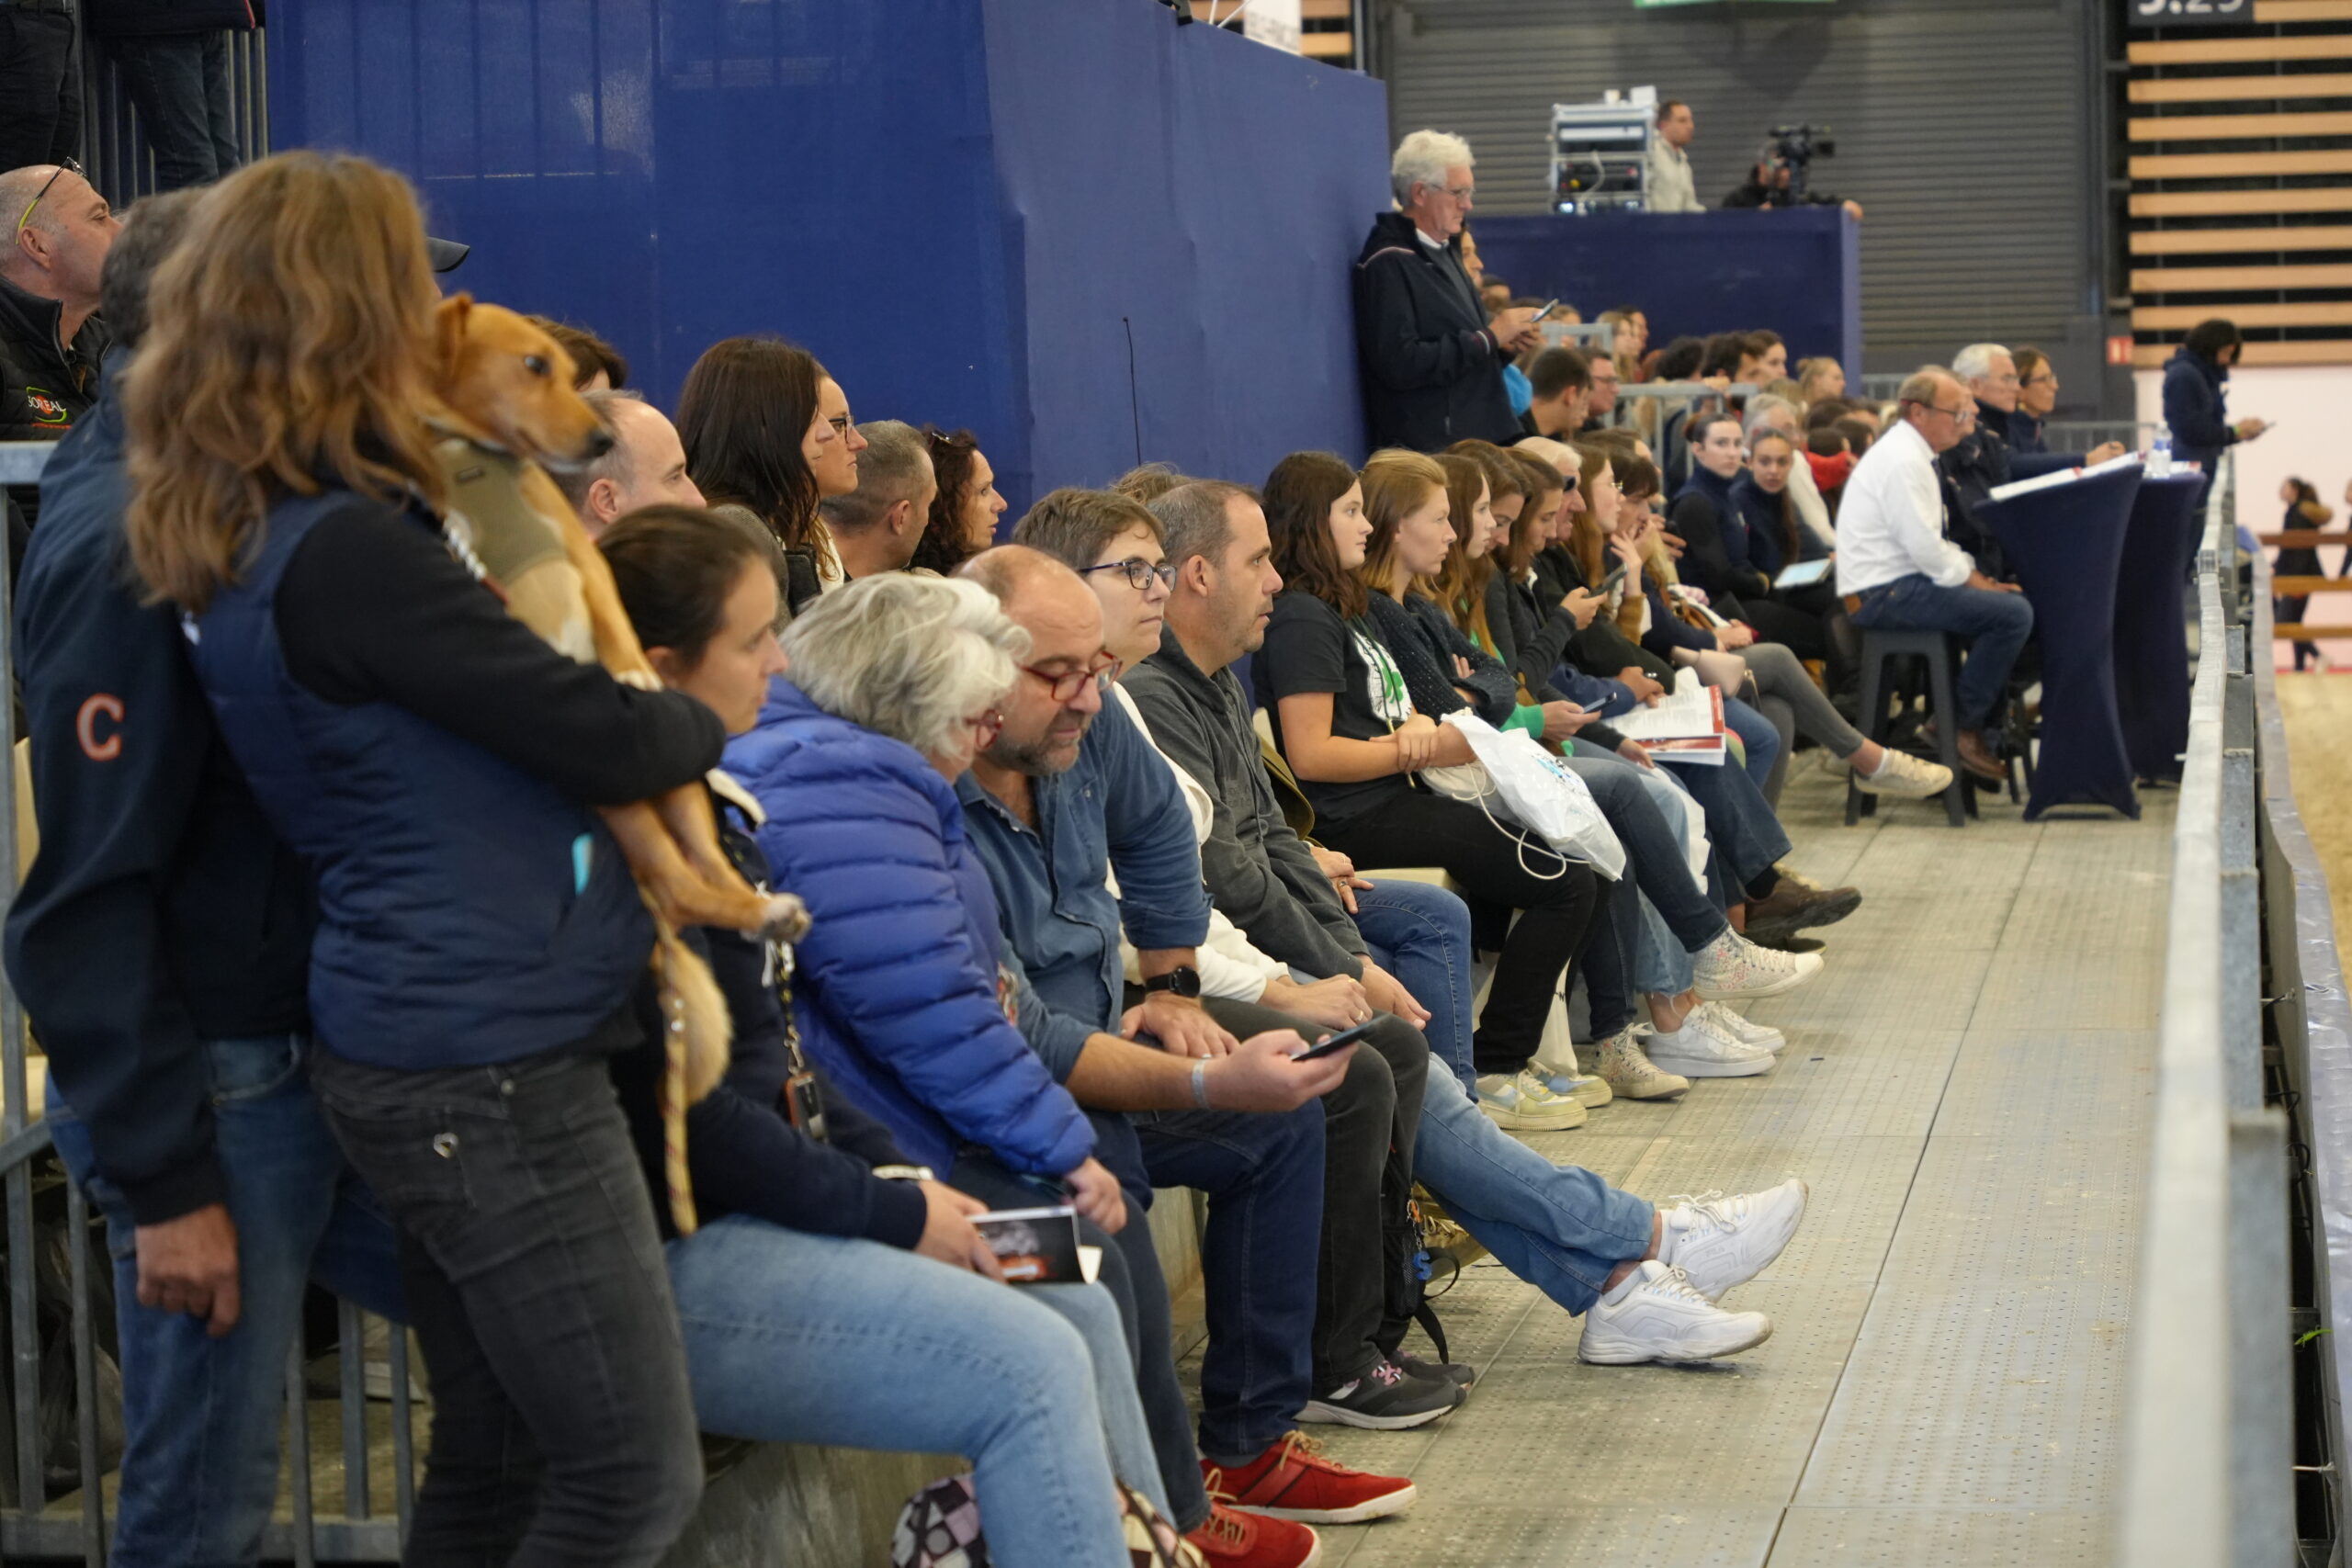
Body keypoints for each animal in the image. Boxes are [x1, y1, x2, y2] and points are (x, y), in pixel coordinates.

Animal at [428, 297, 805, 1230]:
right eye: (534, 366)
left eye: (559, 370)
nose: (597, 437)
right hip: (639, 804)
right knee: (684, 880)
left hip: (661, 808)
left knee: (701, 874)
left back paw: (760, 905)